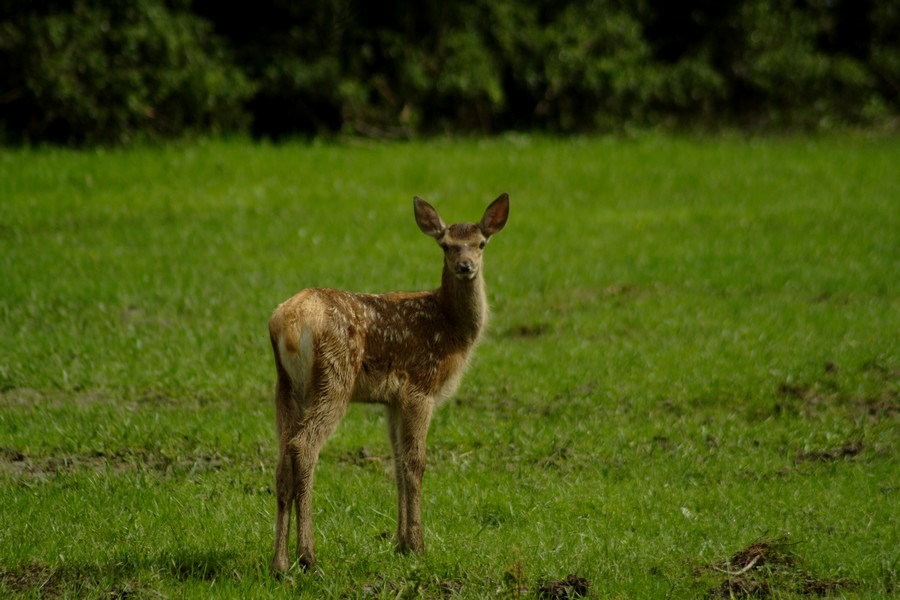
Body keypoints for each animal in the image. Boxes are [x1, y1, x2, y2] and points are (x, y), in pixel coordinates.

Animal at [268, 192, 510, 572]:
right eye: (445, 245)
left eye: (481, 244)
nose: (465, 266)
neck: (450, 329)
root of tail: (286, 323)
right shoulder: (420, 387)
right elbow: (416, 462)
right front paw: (418, 545)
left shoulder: (392, 400)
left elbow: (396, 461)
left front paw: (400, 543)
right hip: (334, 376)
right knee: (303, 446)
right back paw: (308, 557)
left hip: (286, 385)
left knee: (281, 459)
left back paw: (279, 563)